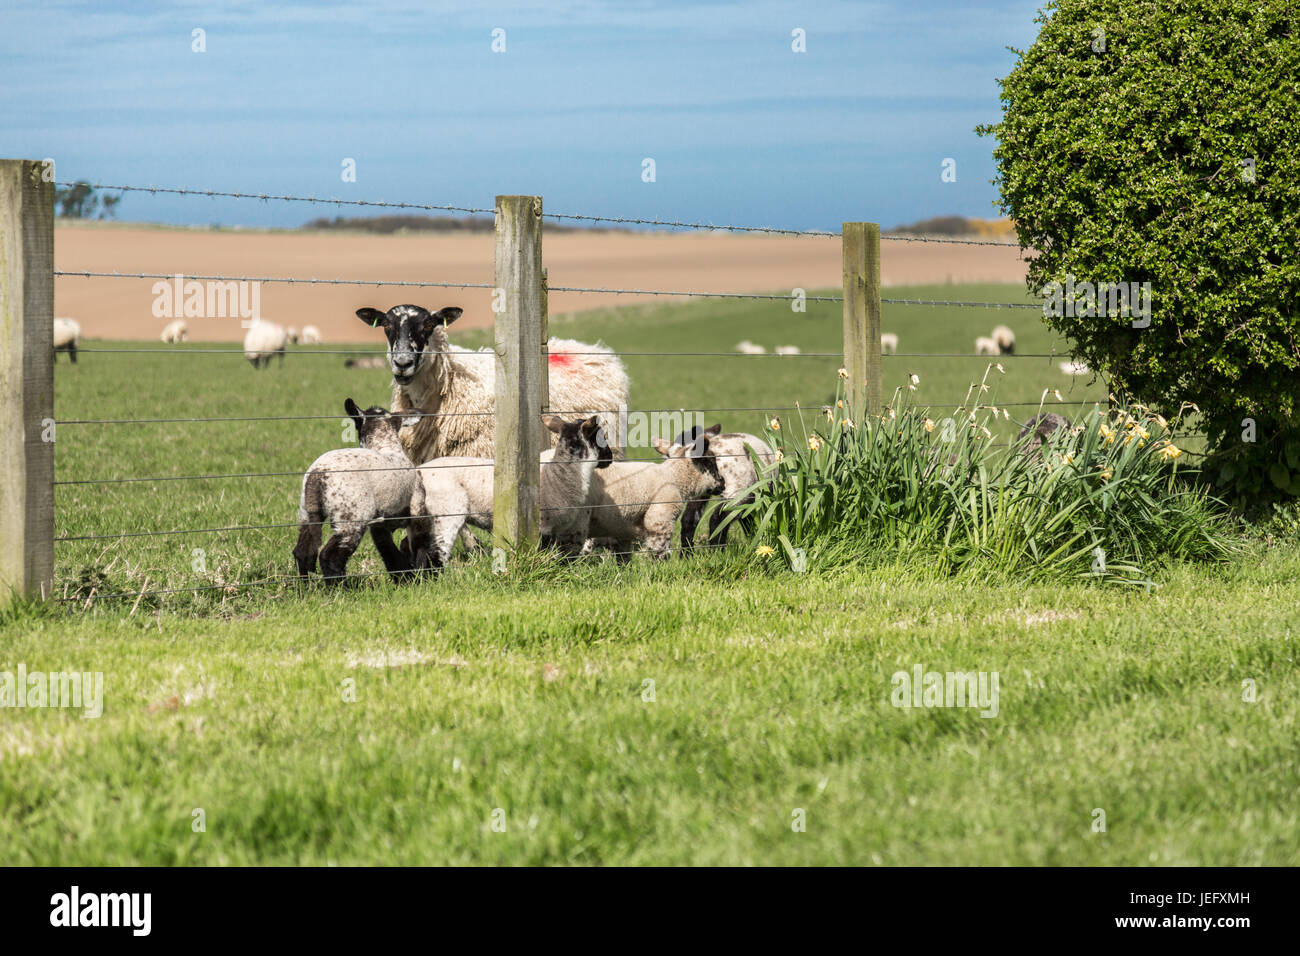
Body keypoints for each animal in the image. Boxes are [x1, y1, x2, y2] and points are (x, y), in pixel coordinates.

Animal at [292, 398, 418, 582]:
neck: (386, 446)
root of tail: (318, 475)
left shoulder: (380, 522)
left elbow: (390, 549)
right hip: (351, 515)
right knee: (330, 556)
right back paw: (339, 587)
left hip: (308, 511)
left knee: (302, 553)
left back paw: (304, 586)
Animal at [403, 416, 611, 572]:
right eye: (600, 438)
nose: (610, 457)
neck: (560, 470)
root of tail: (418, 472)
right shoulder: (543, 526)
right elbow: (544, 551)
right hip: (445, 513)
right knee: (436, 551)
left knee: (413, 545)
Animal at [585, 429, 728, 556]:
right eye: (710, 461)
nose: (723, 482)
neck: (675, 477)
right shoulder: (660, 518)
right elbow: (660, 552)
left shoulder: (624, 527)